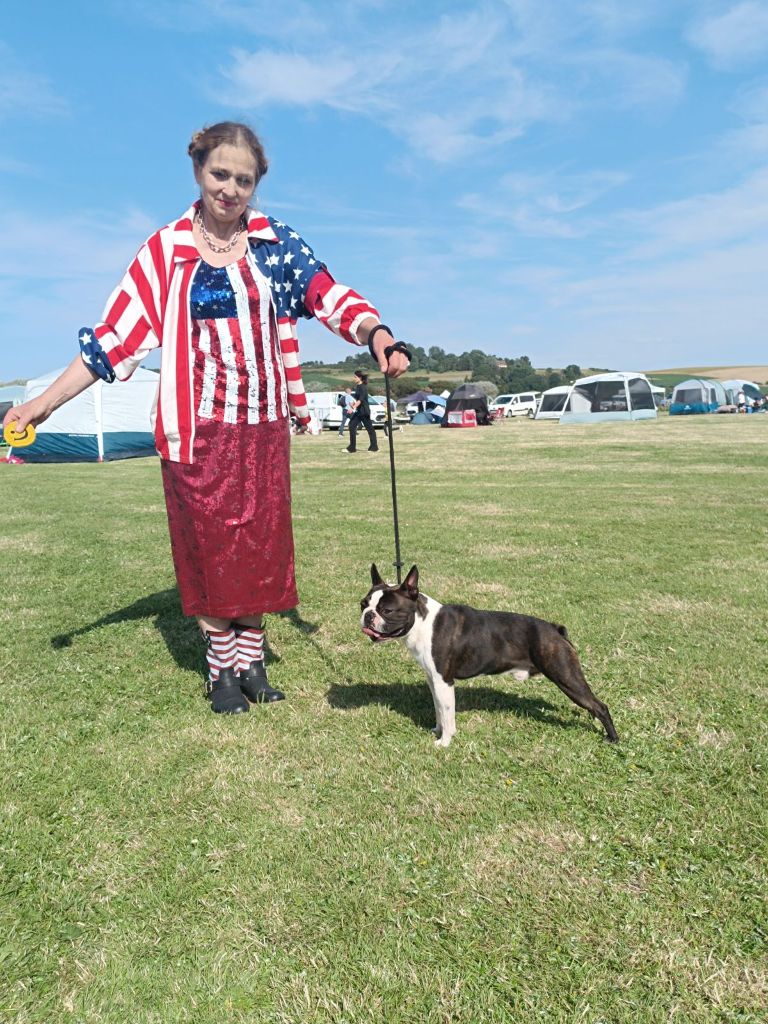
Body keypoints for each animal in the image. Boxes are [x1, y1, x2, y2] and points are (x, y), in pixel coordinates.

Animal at [360, 565, 618, 749]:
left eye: (387, 611)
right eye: (363, 604)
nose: (367, 616)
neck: (422, 622)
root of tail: (555, 630)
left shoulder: (444, 682)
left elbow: (447, 713)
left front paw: (445, 742)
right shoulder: (433, 680)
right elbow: (439, 710)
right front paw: (437, 730)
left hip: (565, 675)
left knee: (600, 706)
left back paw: (612, 739)